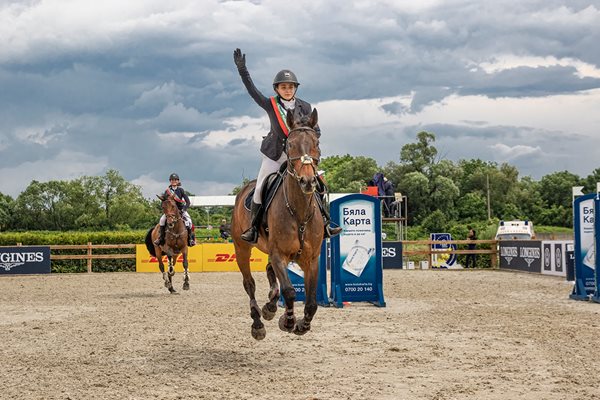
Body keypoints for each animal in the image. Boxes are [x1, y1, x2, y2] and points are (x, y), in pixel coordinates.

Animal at [230, 108, 324, 340]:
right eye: (289, 145)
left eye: (316, 143)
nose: (307, 182)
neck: (299, 212)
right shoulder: (279, 254)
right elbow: (289, 291)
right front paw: (288, 321)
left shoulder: (311, 259)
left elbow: (312, 303)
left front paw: (302, 325)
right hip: (241, 248)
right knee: (249, 284)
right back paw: (258, 323)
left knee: (269, 271)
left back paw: (270, 307)